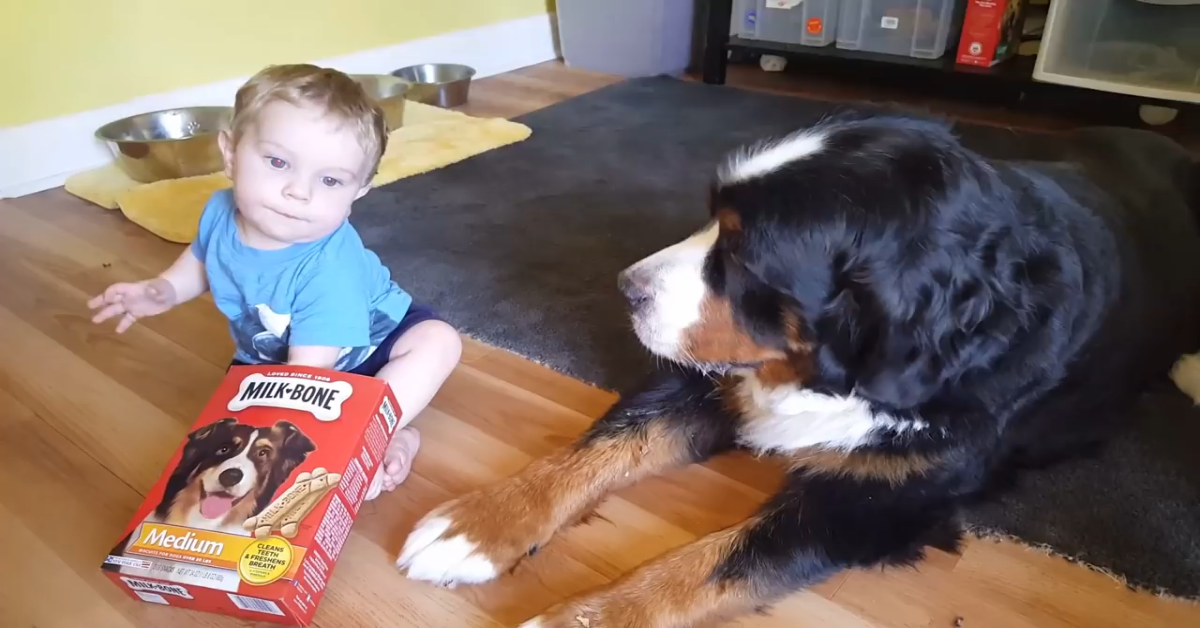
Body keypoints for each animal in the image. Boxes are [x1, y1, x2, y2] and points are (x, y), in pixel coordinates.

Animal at [396, 115, 1200, 624]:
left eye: (742, 256)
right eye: (712, 223)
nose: (626, 288)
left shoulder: (875, 500)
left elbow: (714, 560)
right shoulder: (714, 375)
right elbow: (603, 445)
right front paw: (480, 524)